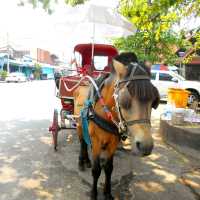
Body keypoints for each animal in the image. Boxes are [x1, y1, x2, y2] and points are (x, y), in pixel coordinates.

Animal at [73, 52, 159, 199]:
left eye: (154, 100)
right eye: (125, 100)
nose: (146, 146)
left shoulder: (113, 142)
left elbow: (109, 168)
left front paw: (107, 193)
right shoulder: (96, 141)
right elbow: (96, 170)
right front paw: (94, 193)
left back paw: (87, 161)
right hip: (79, 124)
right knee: (82, 142)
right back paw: (81, 161)